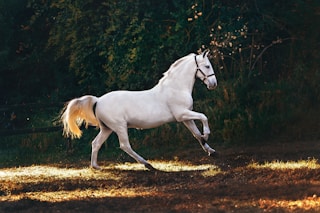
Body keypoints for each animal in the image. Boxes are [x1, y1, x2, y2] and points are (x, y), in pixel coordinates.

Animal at [60, 50, 218, 170]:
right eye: (207, 66)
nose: (213, 84)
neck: (176, 88)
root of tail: (98, 101)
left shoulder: (186, 118)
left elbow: (196, 134)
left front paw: (211, 150)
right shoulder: (182, 114)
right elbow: (204, 117)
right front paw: (207, 135)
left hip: (107, 128)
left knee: (96, 143)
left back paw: (96, 166)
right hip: (120, 127)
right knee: (125, 146)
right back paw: (147, 164)